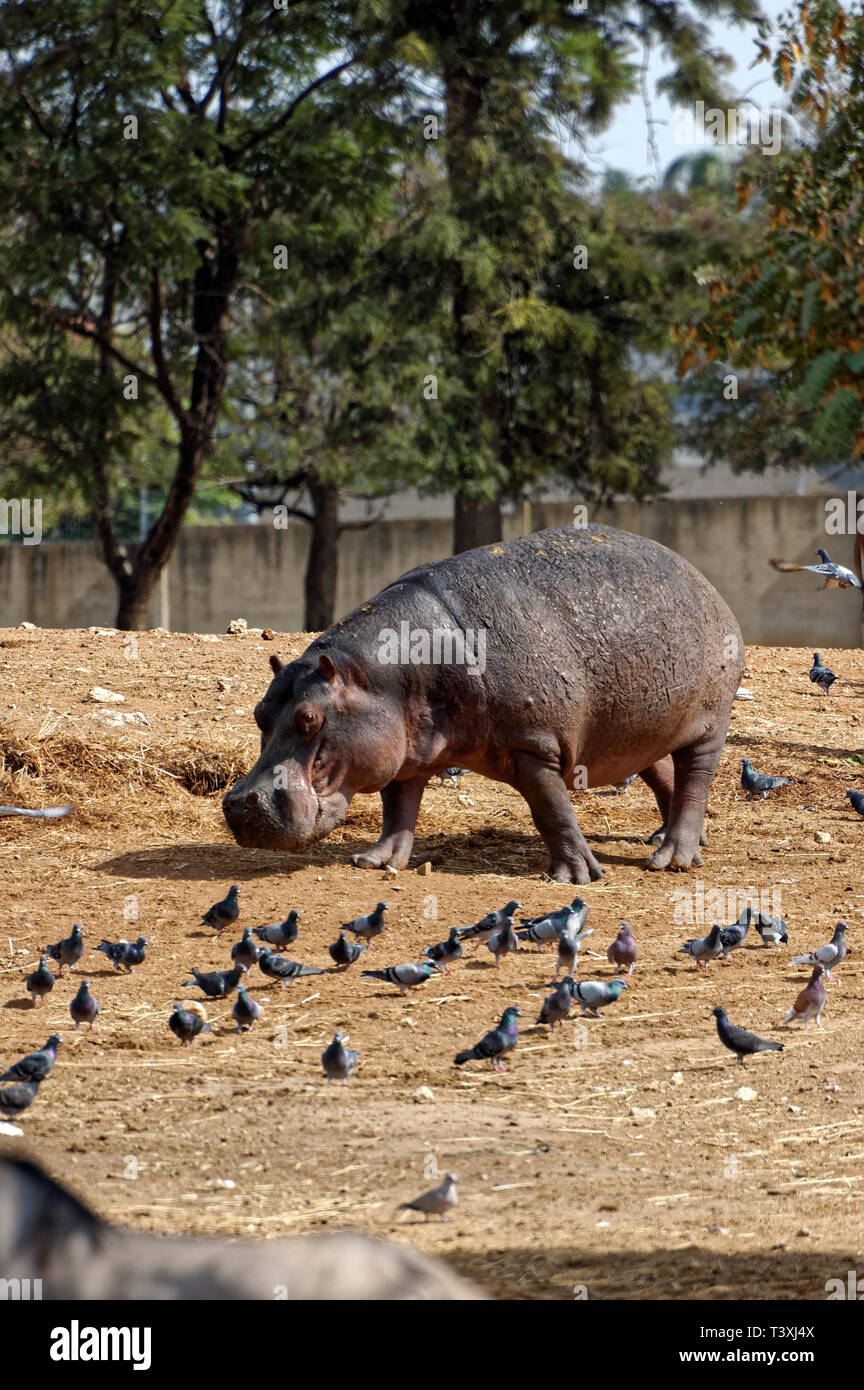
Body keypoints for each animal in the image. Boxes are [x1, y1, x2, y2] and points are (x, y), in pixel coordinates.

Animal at [223, 522, 744, 878]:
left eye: (311, 718)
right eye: (259, 713)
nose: (241, 803)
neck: (383, 676)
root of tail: (702, 580)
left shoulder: (532, 746)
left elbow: (552, 811)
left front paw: (576, 875)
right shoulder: (405, 750)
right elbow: (398, 809)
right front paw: (376, 861)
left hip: (710, 723)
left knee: (695, 779)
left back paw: (671, 858)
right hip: (638, 727)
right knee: (659, 770)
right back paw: (674, 839)